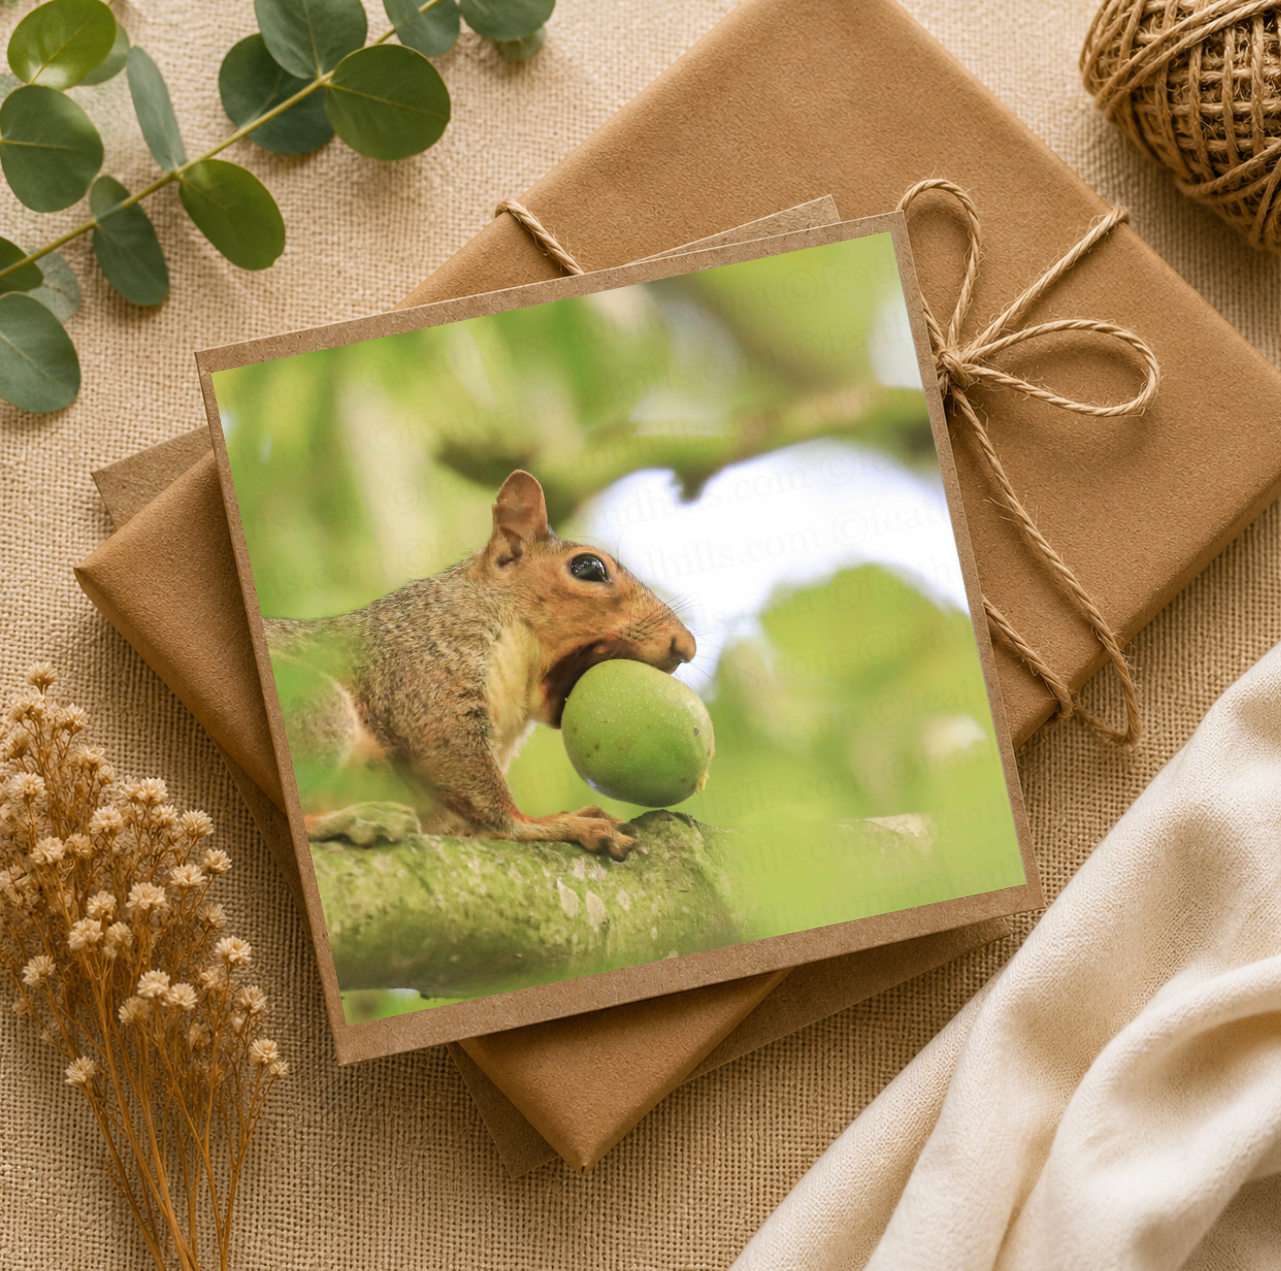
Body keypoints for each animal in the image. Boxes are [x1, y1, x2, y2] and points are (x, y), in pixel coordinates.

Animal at [263, 470, 696, 861]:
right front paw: (554, 822)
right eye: (589, 567)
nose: (686, 646)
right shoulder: (424, 660)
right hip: (316, 706)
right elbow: (461, 762)